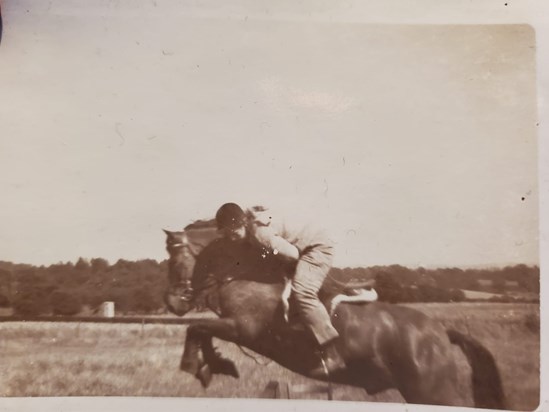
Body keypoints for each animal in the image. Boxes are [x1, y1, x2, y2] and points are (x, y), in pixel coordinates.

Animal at [163, 225, 506, 408]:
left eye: (175, 258)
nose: (172, 303)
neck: (244, 270)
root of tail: (442, 333)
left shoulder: (244, 328)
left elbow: (197, 327)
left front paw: (203, 367)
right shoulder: (236, 328)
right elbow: (200, 330)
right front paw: (214, 365)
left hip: (432, 390)